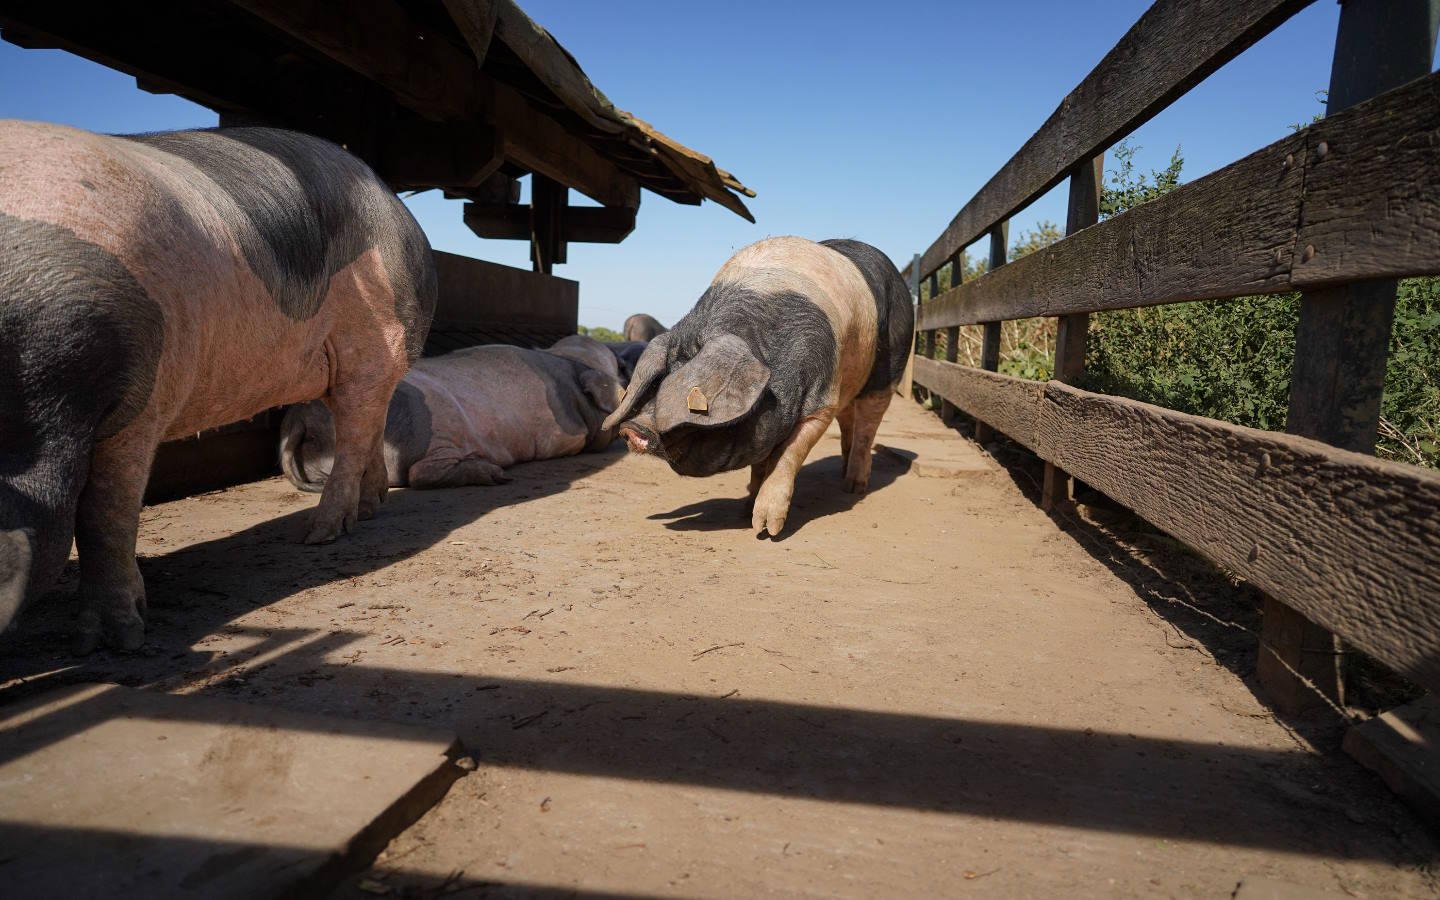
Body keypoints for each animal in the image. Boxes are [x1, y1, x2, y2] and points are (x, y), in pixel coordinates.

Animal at [1, 123, 437, 648]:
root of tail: (401, 211)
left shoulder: (143, 396)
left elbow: (104, 512)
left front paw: (113, 641)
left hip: (376, 337)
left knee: (355, 429)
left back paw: (317, 534)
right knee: (366, 423)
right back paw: (366, 512)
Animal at [277, 339, 622, 492]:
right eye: (618, 369)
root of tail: (298, 420)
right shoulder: (559, 434)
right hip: (431, 426)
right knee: (418, 473)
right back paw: (495, 474)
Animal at [601, 234, 915, 535]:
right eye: (659, 380)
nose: (632, 428)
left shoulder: (822, 402)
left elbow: (788, 455)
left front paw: (765, 529)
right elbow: (760, 463)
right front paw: (744, 509)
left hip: (889, 366)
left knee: (868, 425)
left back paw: (854, 487)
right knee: (849, 419)